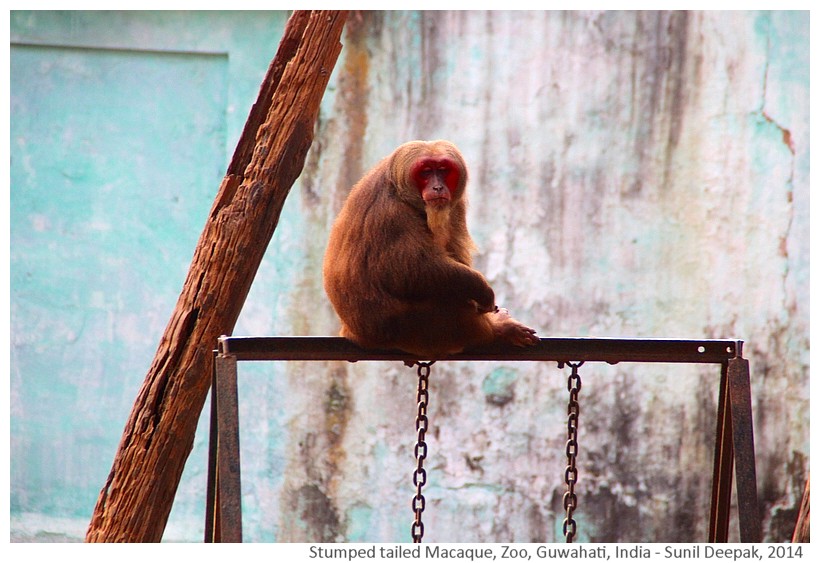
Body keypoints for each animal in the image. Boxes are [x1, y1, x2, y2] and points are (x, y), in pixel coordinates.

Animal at [320, 139, 540, 354]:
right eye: (426, 172)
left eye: (443, 170)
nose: (437, 187)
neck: (400, 188)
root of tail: (353, 333)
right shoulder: (390, 213)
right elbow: (412, 271)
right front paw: (481, 288)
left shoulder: (454, 204)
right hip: (413, 330)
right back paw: (498, 330)